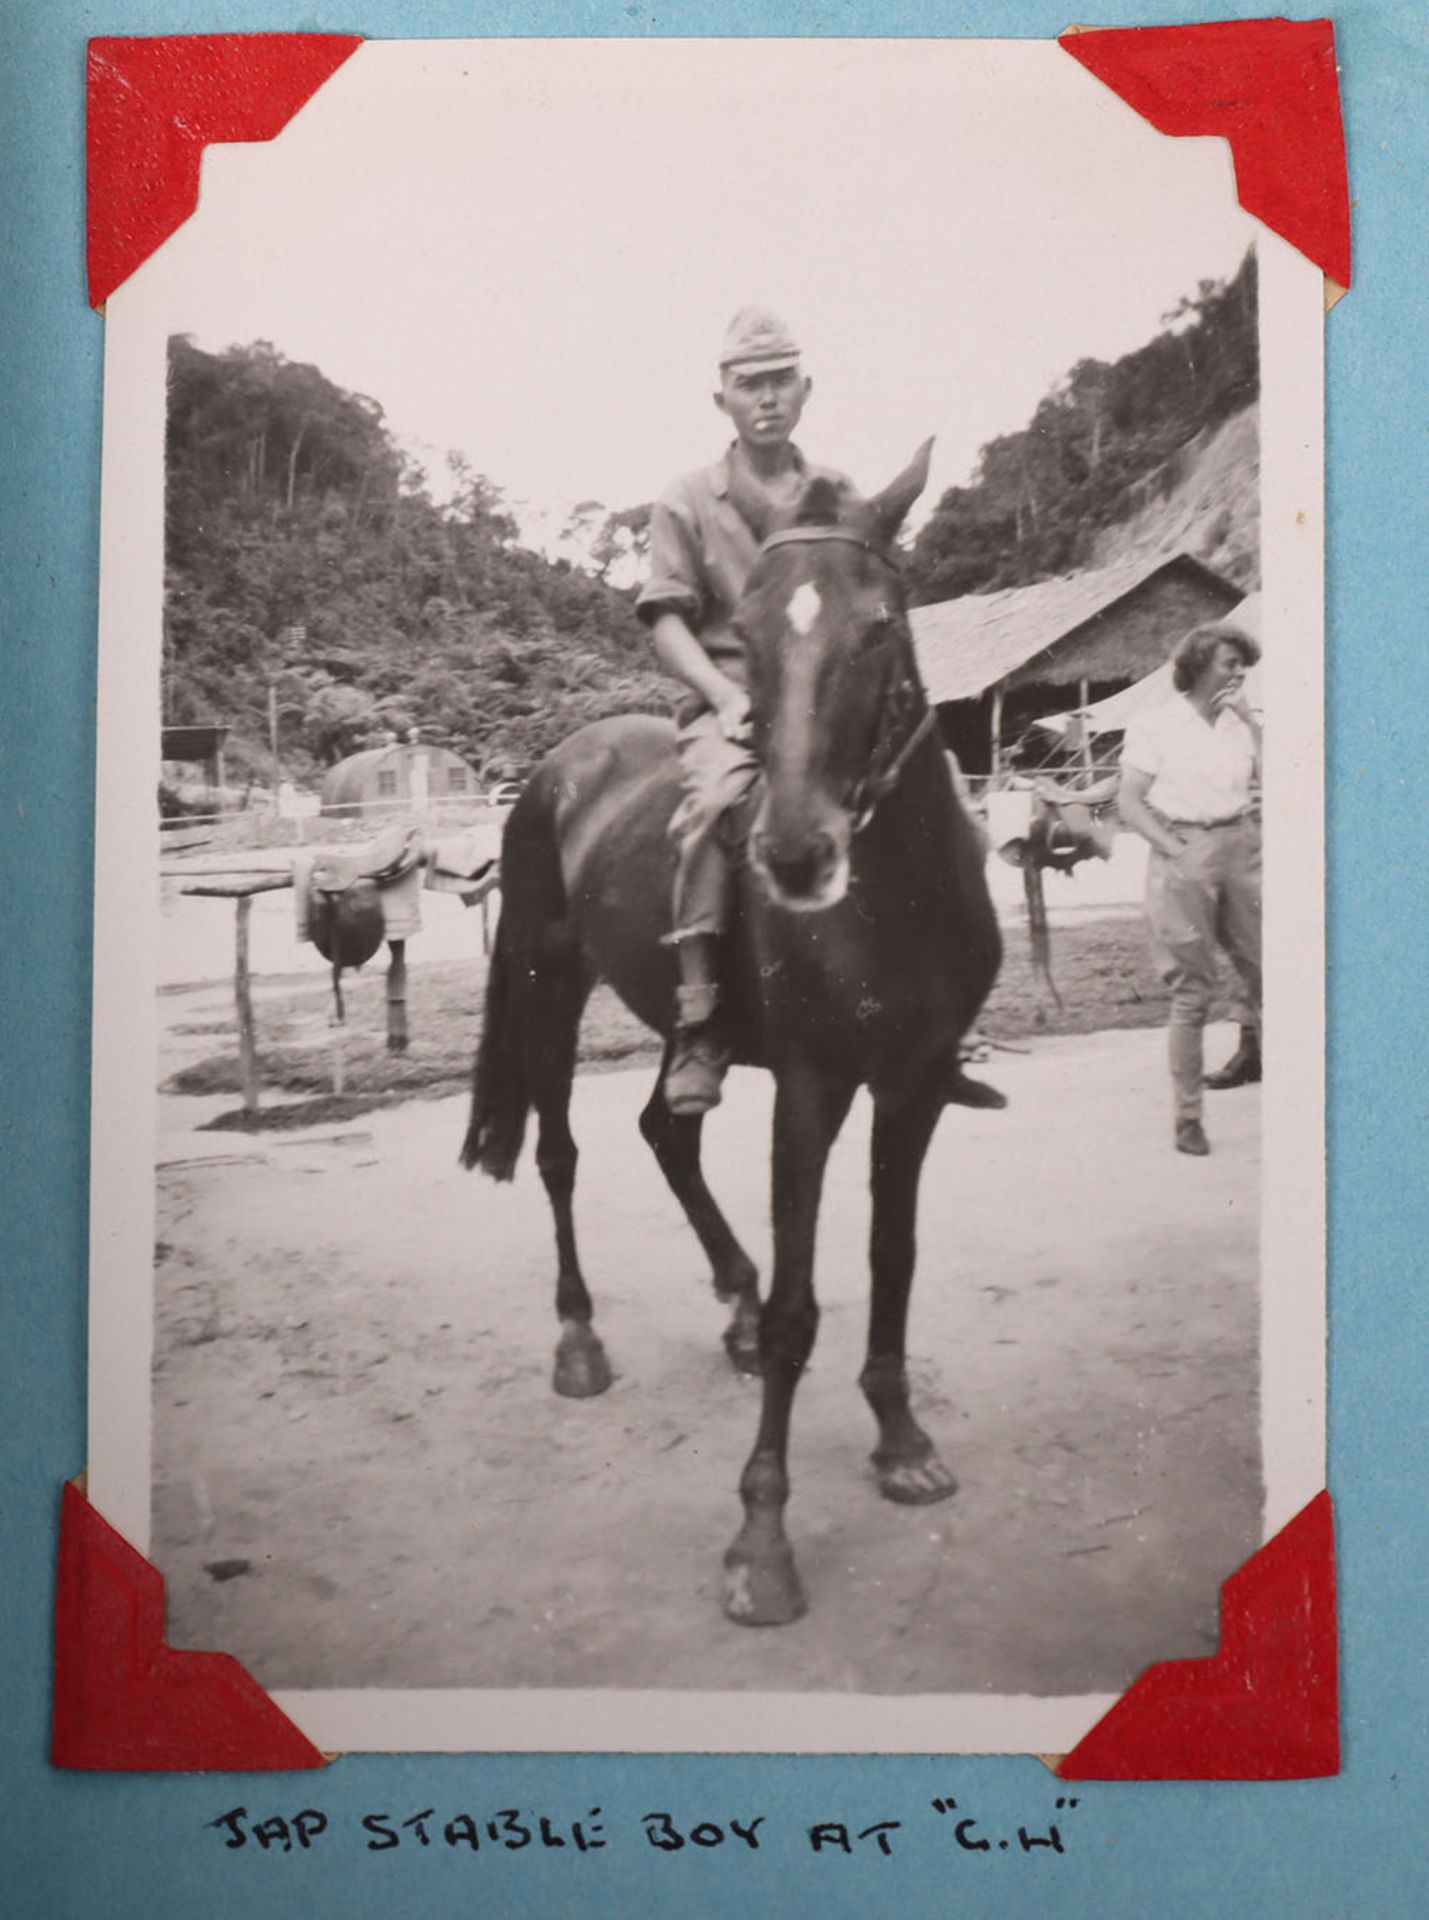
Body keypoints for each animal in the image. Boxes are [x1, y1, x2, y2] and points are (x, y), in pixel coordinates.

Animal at [462, 445, 998, 1620]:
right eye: (742, 633)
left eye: (878, 625)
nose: (792, 853)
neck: (893, 901)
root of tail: (560, 767)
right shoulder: (811, 1086)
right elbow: (803, 1306)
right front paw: (762, 1536)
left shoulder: (915, 1083)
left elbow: (893, 1256)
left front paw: (900, 1440)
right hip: (548, 988)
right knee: (563, 1156)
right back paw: (581, 1337)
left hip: (678, 1027)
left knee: (668, 1128)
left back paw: (732, 1307)